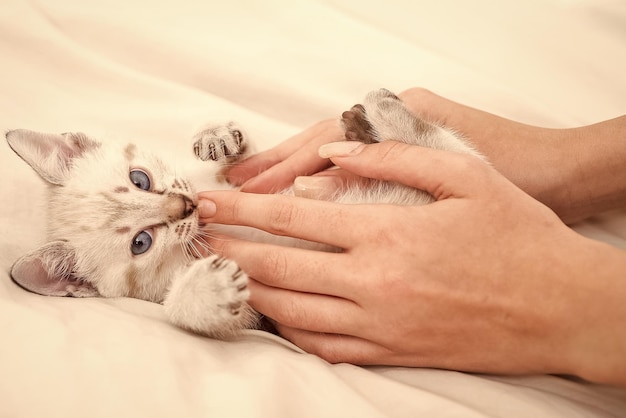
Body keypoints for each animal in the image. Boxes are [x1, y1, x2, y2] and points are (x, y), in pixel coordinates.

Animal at [4, 87, 482, 336]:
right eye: (141, 242)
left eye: (139, 179)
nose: (187, 206)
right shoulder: (255, 319)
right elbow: (186, 311)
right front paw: (203, 291)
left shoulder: (234, 179)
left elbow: (240, 159)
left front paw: (217, 135)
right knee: (453, 150)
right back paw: (378, 114)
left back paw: (373, 117)